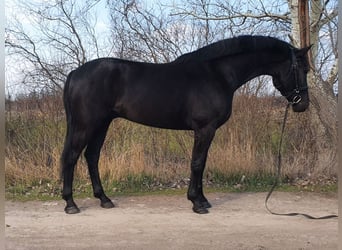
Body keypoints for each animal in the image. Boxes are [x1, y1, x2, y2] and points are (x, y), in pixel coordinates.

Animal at [60, 35, 310, 215]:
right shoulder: (205, 129)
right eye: (303, 69)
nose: (303, 105)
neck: (217, 74)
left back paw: (104, 199)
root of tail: (75, 73)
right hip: (86, 125)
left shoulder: (207, 131)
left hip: (102, 124)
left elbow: (202, 163)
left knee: (91, 157)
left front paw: (203, 200)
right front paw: (196, 203)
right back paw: (71, 204)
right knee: (71, 157)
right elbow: (197, 163)